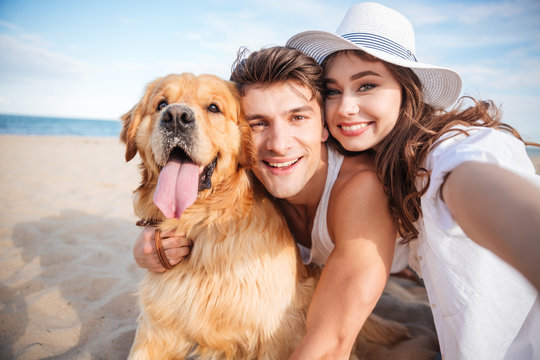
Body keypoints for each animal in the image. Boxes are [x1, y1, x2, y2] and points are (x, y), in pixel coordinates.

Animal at [121, 73, 410, 360]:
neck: (203, 222)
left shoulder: (276, 333)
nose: (176, 117)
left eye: (213, 107)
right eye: (161, 104)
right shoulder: (159, 329)